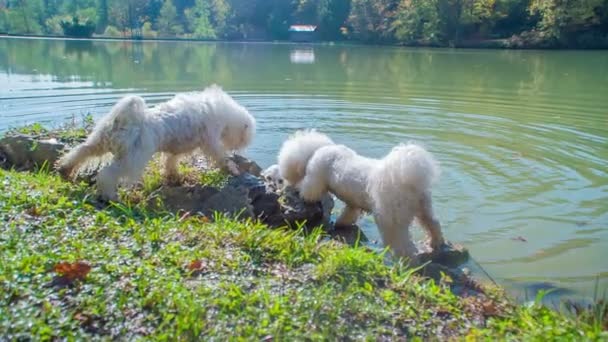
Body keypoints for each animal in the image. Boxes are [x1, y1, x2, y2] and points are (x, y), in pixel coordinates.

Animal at [56, 85, 254, 200]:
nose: (241, 148)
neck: (223, 112)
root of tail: (124, 121)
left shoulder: (177, 149)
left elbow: (171, 161)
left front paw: (173, 177)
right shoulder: (211, 142)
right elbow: (222, 158)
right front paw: (233, 169)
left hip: (98, 143)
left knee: (80, 152)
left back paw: (65, 169)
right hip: (131, 160)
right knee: (107, 174)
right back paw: (110, 195)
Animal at [278, 130, 444, 264]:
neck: (315, 151)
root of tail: (409, 180)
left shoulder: (314, 180)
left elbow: (309, 192)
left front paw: (299, 192)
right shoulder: (353, 204)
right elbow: (349, 214)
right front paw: (341, 223)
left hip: (391, 220)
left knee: (403, 246)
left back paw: (407, 264)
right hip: (424, 208)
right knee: (433, 224)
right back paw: (435, 243)